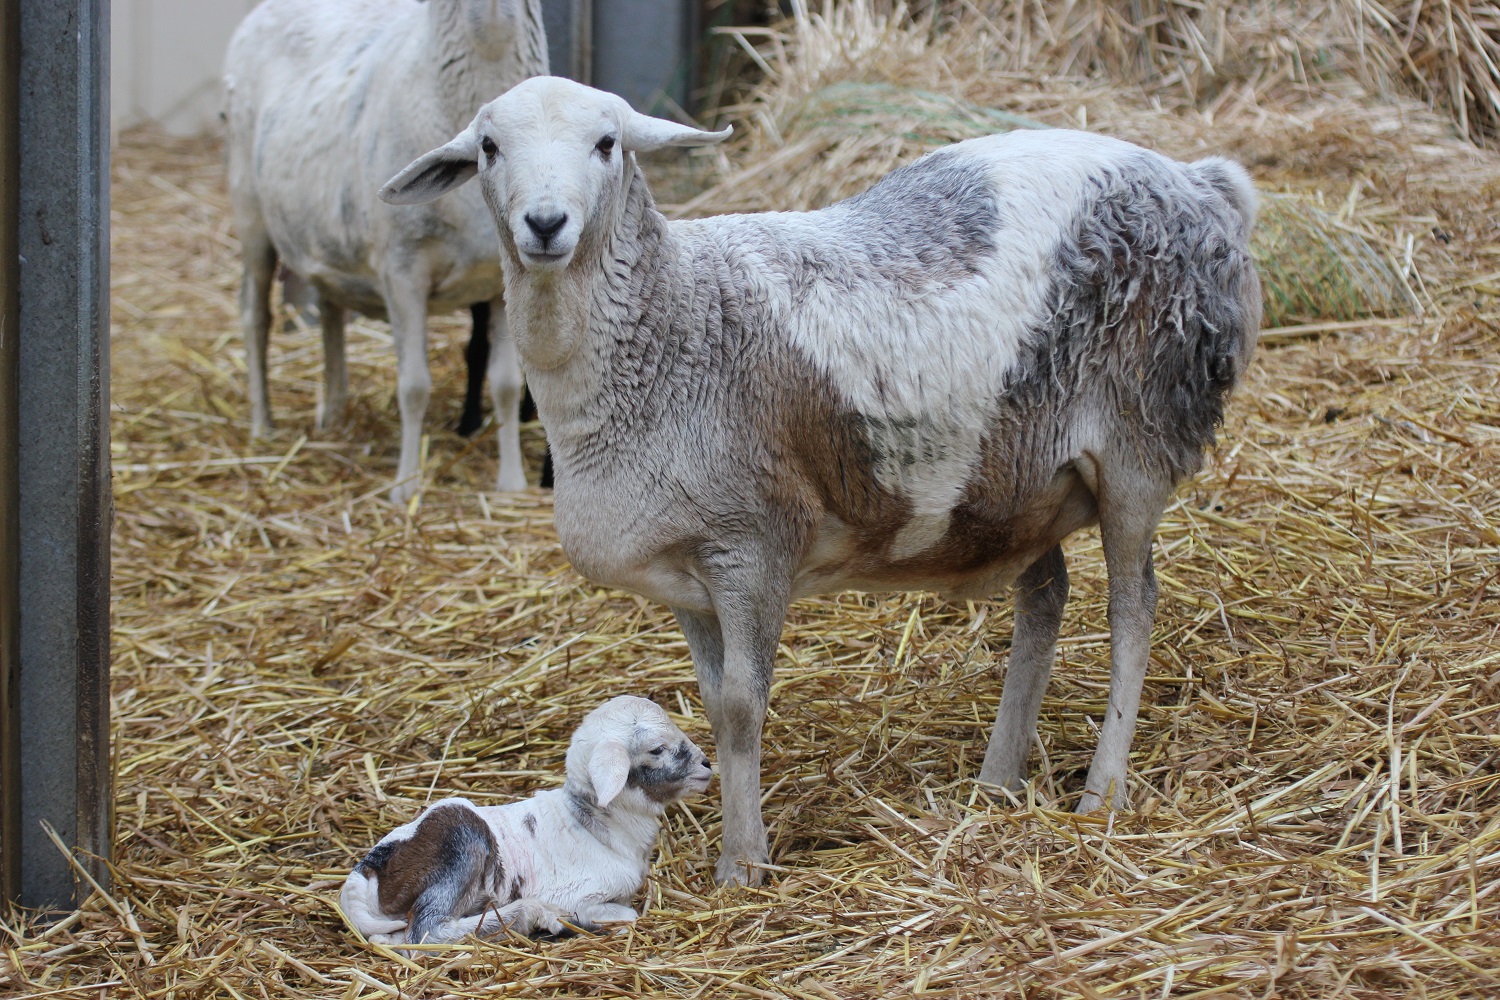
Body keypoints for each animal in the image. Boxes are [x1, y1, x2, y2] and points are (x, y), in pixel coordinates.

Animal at [222, 0, 552, 500]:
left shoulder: (499, 279)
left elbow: (507, 384)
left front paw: (510, 482)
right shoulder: (402, 268)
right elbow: (414, 385)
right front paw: (405, 486)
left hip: (324, 236)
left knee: (330, 310)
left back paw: (334, 411)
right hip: (250, 213)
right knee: (254, 316)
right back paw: (264, 425)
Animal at [342, 695, 714, 947]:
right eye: (656, 749)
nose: (707, 764)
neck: (596, 827)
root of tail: (365, 870)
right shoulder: (578, 895)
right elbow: (629, 915)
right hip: (461, 839)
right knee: (424, 933)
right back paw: (534, 914)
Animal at [381, 80, 1260, 893]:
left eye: (607, 144)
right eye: (489, 148)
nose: (545, 224)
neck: (676, 320)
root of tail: (1200, 183)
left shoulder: (751, 543)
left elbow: (743, 706)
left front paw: (743, 864)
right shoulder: (686, 574)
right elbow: (715, 700)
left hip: (1142, 434)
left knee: (1132, 608)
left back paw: (1102, 792)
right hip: (1016, 487)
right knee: (1045, 597)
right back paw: (997, 779)